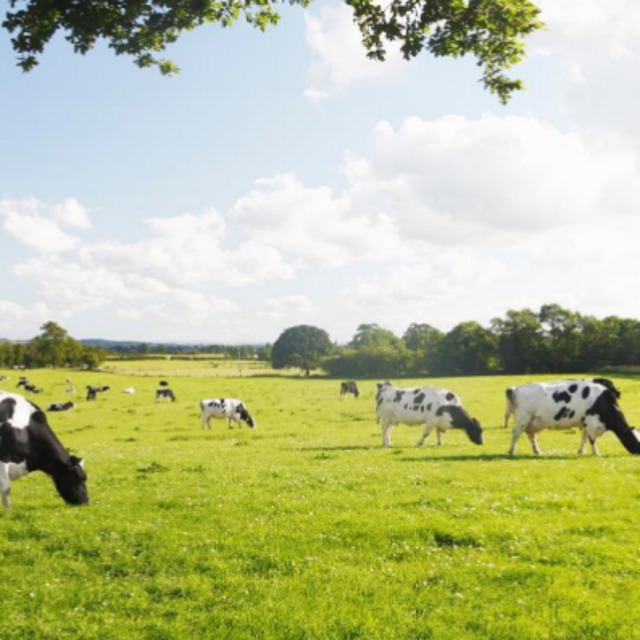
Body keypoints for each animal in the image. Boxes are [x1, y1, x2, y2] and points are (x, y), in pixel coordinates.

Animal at [504, 380, 640, 456]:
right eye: (634, 440)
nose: (638, 454)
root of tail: (516, 388)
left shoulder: (585, 422)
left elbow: (584, 438)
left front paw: (581, 451)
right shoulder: (591, 422)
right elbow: (592, 440)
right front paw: (596, 453)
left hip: (532, 422)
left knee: (531, 436)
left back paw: (537, 451)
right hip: (523, 419)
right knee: (515, 434)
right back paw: (511, 451)